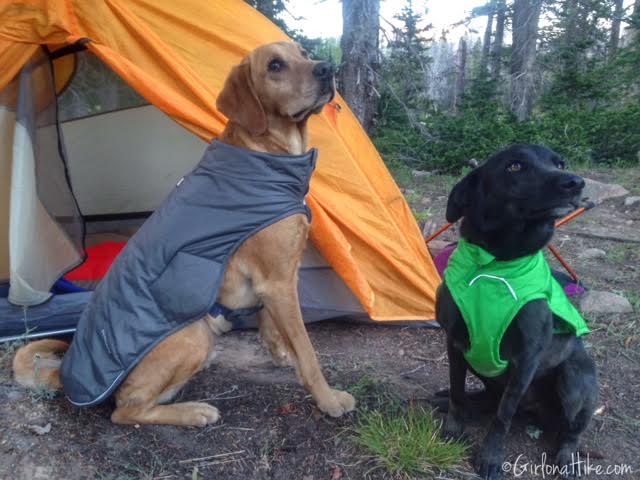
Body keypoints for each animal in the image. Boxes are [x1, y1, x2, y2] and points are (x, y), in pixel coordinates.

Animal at [438, 143, 596, 480]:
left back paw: (567, 457)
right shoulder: (455, 344)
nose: (575, 182)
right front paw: (453, 428)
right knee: (484, 397)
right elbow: (457, 391)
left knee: (572, 429)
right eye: (515, 166)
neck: (495, 262)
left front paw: (490, 458)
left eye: (559, 163)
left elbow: (503, 417)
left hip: (575, 381)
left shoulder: (526, 360)